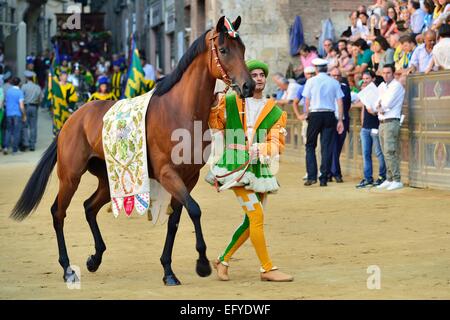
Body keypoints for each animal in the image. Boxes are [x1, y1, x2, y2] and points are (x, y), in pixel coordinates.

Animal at [10, 15, 255, 284]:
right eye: (223, 49)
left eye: (242, 48)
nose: (249, 85)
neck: (179, 110)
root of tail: (72, 119)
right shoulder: (167, 173)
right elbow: (194, 210)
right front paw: (201, 263)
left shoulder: (188, 177)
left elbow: (176, 219)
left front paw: (168, 270)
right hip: (70, 176)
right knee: (58, 213)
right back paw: (67, 269)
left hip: (108, 179)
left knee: (89, 207)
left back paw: (95, 258)